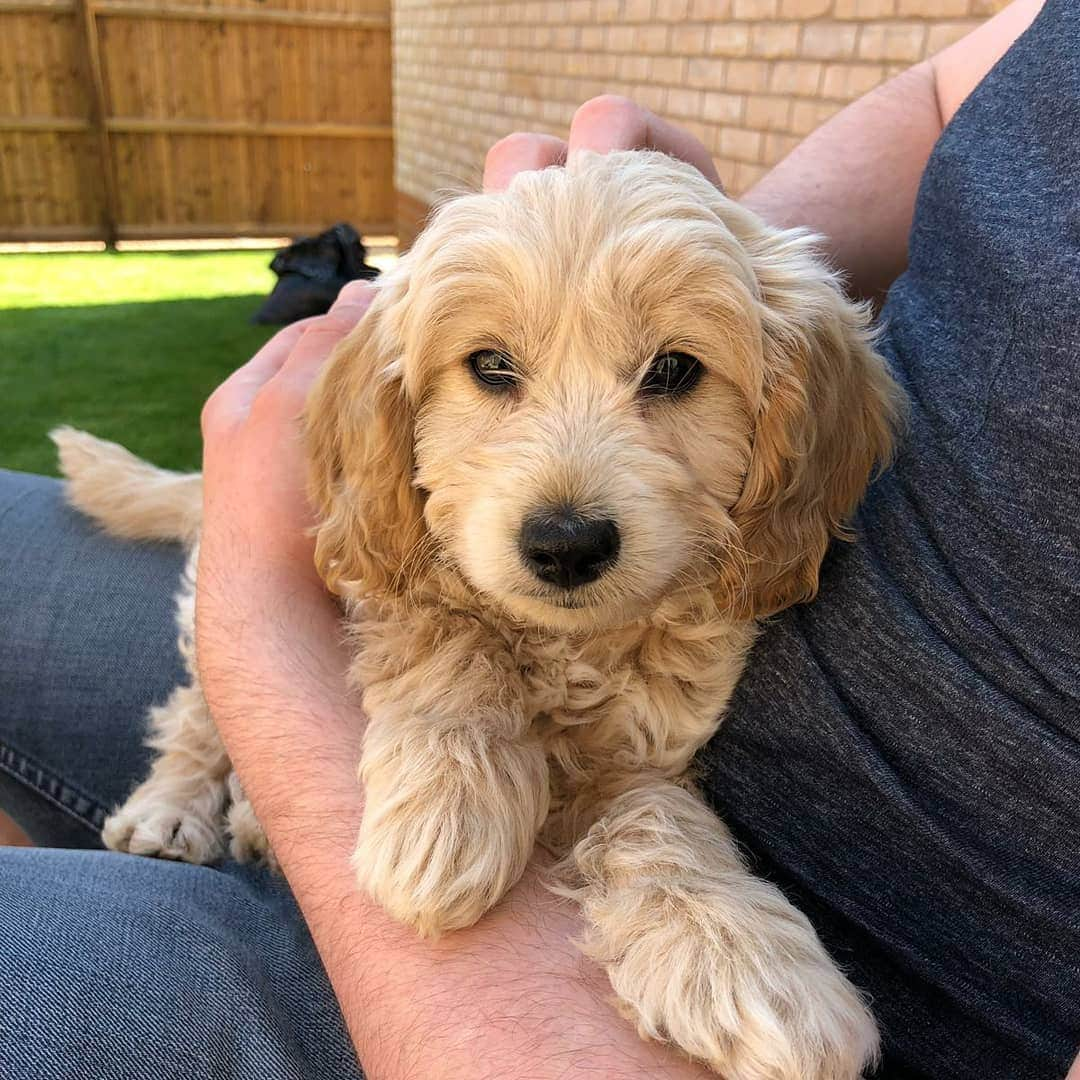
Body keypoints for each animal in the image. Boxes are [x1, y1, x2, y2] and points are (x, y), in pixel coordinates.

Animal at [56, 150, 902, 1080]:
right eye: (491, 366)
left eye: (676, 370)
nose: (566, 545)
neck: (569, 646)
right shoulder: (374, 561)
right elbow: (449, 634)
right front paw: (447, 812)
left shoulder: (646, 743)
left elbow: (655, 815)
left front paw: (734, 948)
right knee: (195, 709)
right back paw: (173, 807)